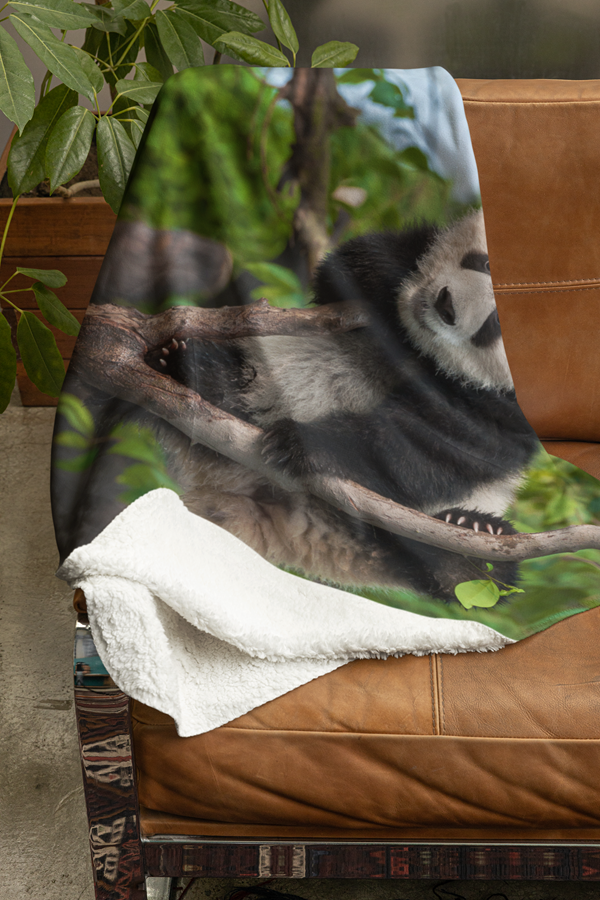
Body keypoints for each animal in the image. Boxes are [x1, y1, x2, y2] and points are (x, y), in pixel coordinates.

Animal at [148, 209, 539, 602]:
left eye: (500, 321)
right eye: (486, 264)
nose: (447, 305)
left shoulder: (509, 411)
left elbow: (444, 445)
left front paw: (302, 445)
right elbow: (349, 266)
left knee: (471, 573)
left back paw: (471, 536)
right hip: (252, 387)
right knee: (227, 378)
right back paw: (188, 370)